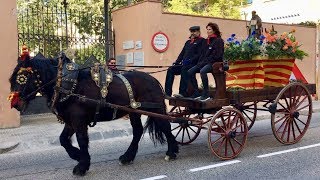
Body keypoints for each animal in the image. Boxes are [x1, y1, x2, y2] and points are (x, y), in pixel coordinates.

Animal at [8, 53, 178, 174]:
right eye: (12, 79)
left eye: (22, 78)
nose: (15, 103)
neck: (69, 85)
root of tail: (153, 79)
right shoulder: (71, 121)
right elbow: (63, 140)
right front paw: (77, 156)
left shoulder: (79, 120)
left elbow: (82, 140)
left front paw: (82, 165)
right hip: (135, 111)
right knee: (137, 131)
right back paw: (127, 157)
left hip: (155, 109)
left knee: (165, 126)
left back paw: (172, 151)